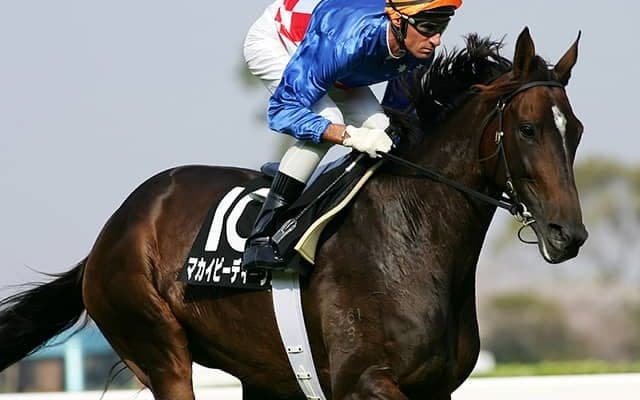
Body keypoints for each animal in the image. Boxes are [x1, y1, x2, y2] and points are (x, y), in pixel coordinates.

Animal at [0, 28, 587, 399]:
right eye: (528, 129)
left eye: (575, 131)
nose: (569, 234)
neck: (408, 238)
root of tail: (113, 230)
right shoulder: (362, 382)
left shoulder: (434, 390)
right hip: (157, 347)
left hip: (260, 374)